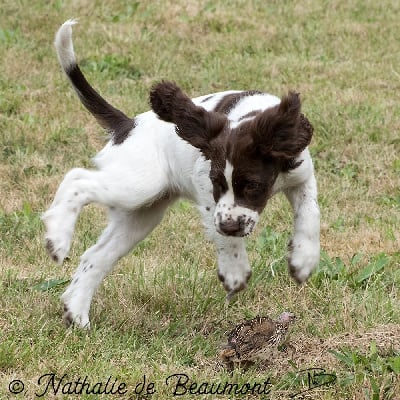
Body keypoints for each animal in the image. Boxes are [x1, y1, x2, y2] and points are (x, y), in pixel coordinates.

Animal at [42, 21, 320, 328]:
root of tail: (128, 125)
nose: (230, 226)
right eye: (217, 183)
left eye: (252, 186)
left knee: (96, 256)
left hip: (142, 214)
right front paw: (234, 270)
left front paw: (304, 260)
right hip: (138, 185)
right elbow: (226, 237)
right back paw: (57, 238)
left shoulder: (301, 176)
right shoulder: (206, 187)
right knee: (76, 178)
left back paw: (77, 313)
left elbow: (310, 214)